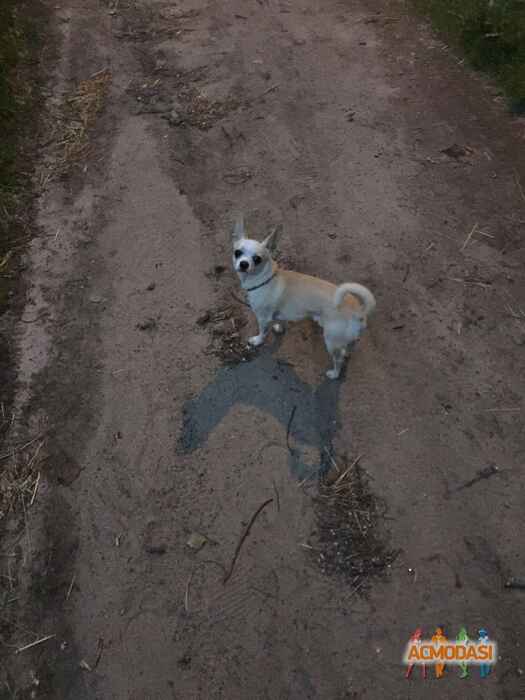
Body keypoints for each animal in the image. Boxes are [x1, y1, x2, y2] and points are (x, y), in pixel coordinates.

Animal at [231, 216, 374, 380]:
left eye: (257, 259)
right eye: (237, 252)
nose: (243, 264)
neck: (264, 279)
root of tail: (359, 311)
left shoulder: (263, 317)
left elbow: (263, 332)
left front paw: (257, 341)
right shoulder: (280, 311)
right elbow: (281, 320)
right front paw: (279, 328)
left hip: (331, 341)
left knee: (338, 360)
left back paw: (334, 374)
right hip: (347, 338)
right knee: (349, 348)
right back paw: (347, 354)